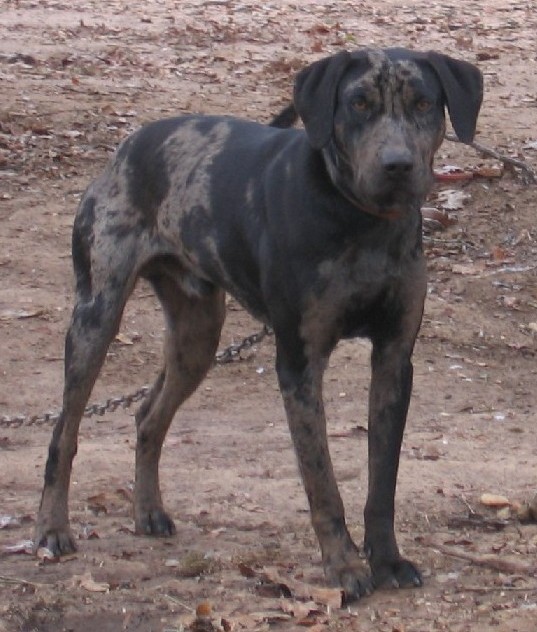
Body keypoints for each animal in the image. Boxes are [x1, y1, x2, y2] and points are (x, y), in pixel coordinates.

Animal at [35, 47, 484, 600]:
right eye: (358, 103)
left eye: (423, 102)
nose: (397, 164)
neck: (360, 220)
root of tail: (127, 148)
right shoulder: (299, 362)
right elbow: (321, 480)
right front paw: (344, 567)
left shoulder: (395, 357)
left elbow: (383, 480)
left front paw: (387, 561)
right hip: (96, 316)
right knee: (65, 431)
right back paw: (52, 529)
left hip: (197, 336)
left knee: (147, 416)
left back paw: (148, 512)